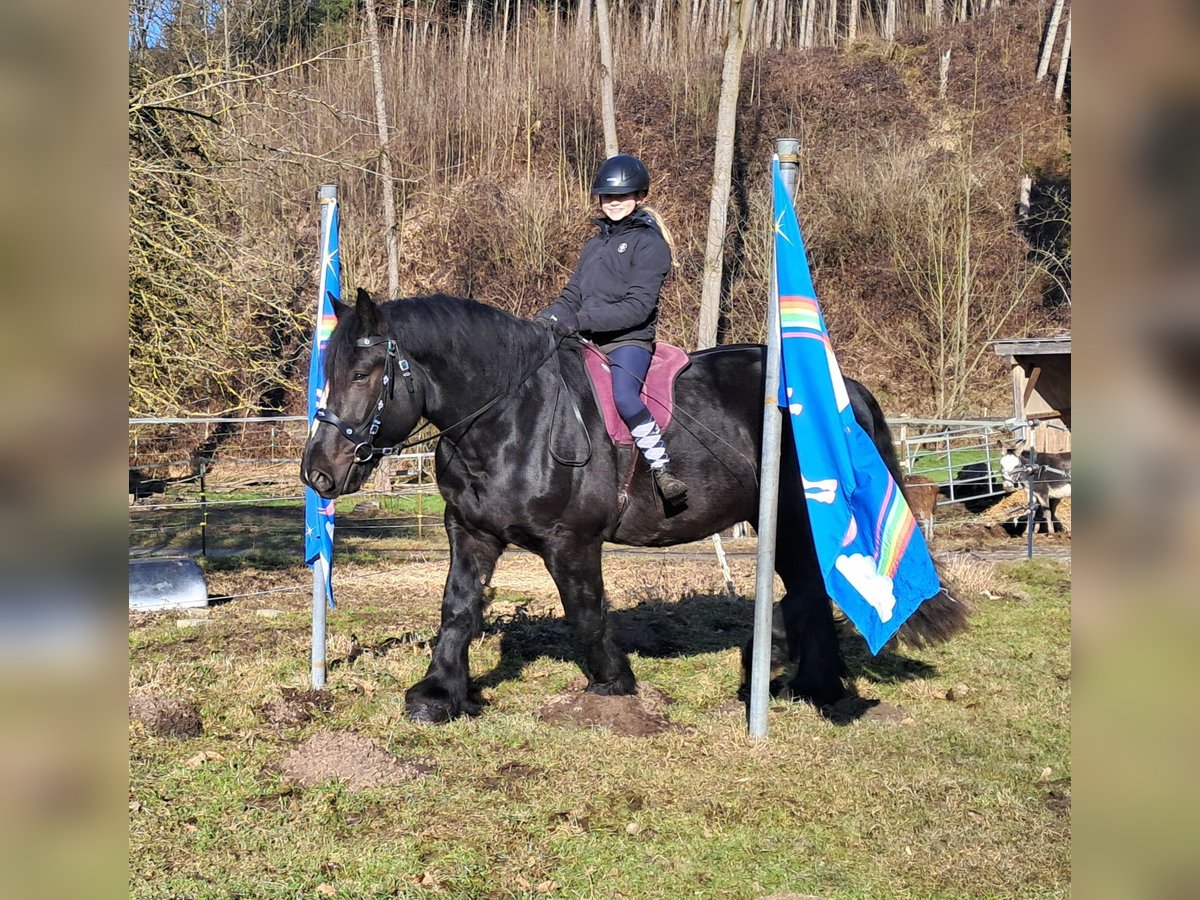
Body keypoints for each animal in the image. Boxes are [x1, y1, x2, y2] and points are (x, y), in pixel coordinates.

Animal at [300, 290, 964, 724]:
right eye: (328, 372)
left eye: (363, 372)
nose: (318, 472)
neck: (512, 417)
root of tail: (843, 389)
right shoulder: (470, 532)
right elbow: (458, 609)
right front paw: (439, 695)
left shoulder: (571, 542)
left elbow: (586, 612)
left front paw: (614, 683)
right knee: (808, 591)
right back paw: (809, 684)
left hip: (798, 517)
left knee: (806, 592)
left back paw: (786, 671)